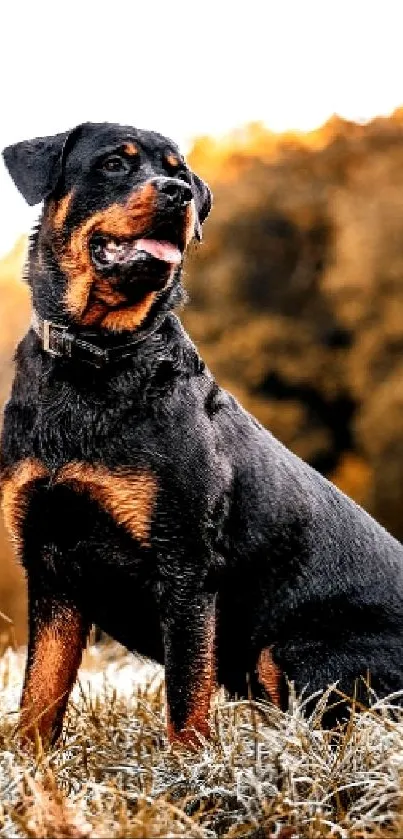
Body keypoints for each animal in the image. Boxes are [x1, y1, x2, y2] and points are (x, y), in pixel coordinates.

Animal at [0, 120, 403, 748]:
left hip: (292, 649)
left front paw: (189, 770)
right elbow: (39, 701)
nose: (179, 193)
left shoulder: (185, 564)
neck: (97, 358)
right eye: (115, 163)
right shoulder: (51, 565)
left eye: (180, 172)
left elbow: (186, 699)